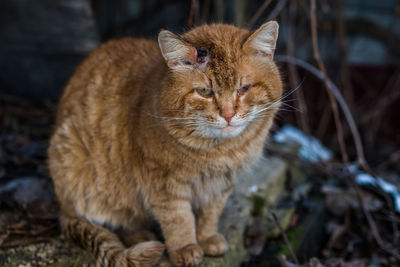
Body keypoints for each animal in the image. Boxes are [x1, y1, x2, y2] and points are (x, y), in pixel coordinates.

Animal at [47, 21, 282, 267]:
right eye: (205, 91)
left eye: (243, 89)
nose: (228, 115)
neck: (219, 151)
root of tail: (62, 209)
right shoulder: (163, 186)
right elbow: (179, 219)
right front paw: (185, 247)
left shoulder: (221, 186)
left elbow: (210, 214)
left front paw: (207, 238)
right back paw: (142, 237)